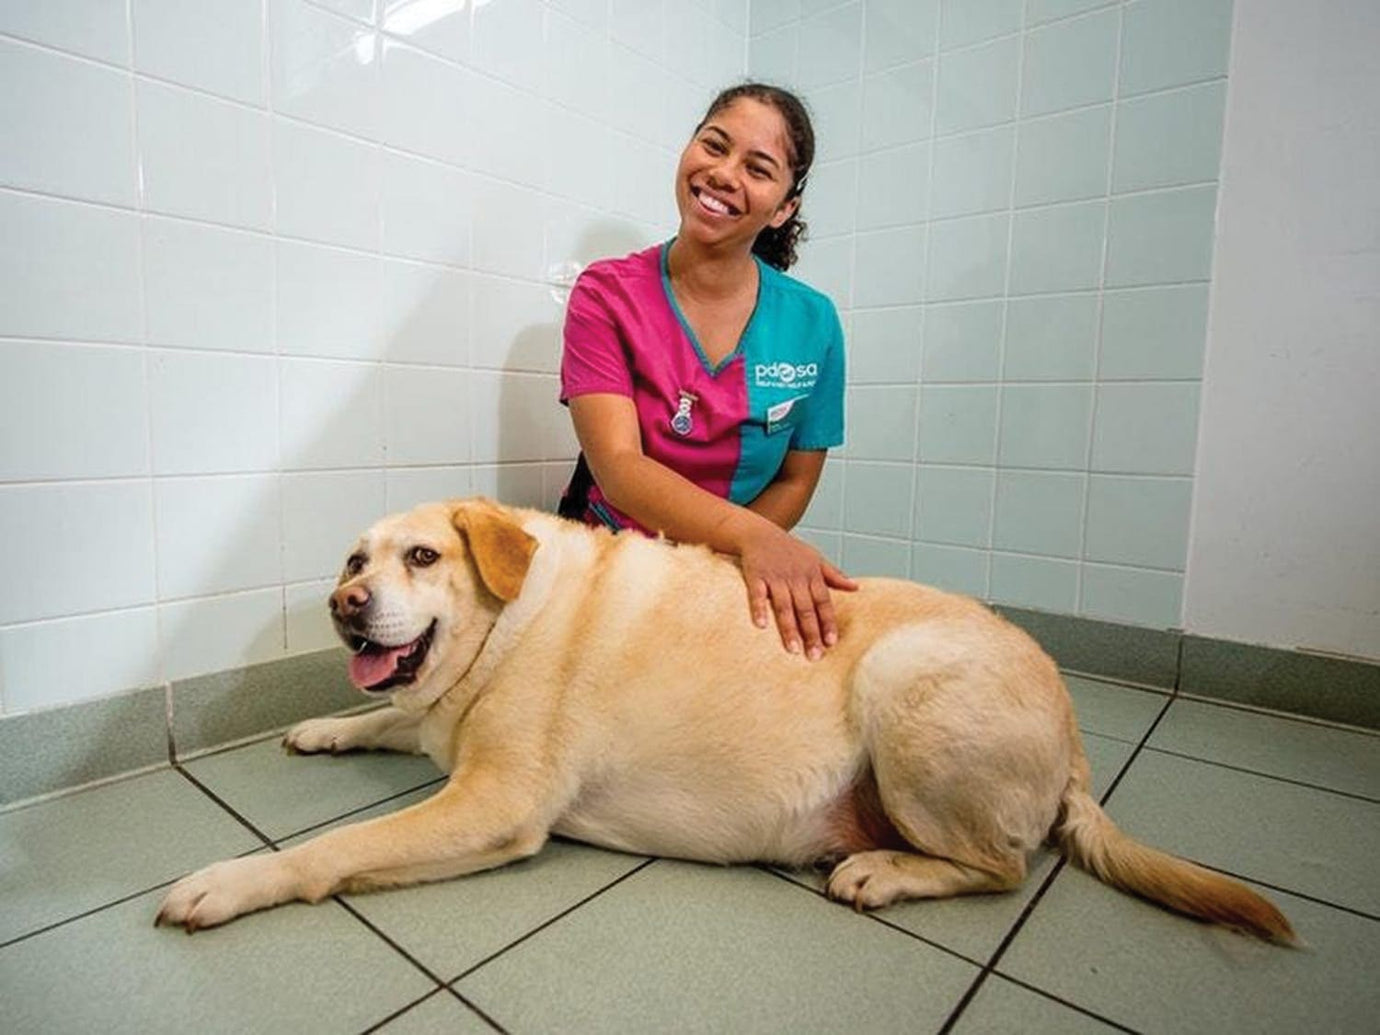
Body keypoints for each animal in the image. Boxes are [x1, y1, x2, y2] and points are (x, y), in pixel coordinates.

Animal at [158, 499, 1291, 943]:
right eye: (355, 560)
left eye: (423, 557)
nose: (344, 605)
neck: (509, 619)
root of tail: (1075, 736)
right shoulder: (442, 726)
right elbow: (389, 722)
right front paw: (324, 729)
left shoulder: (495, 803)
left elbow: (335, 848)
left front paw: (227, 880)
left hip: (905, 684)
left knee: (1001, 866)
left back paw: (882, 870)